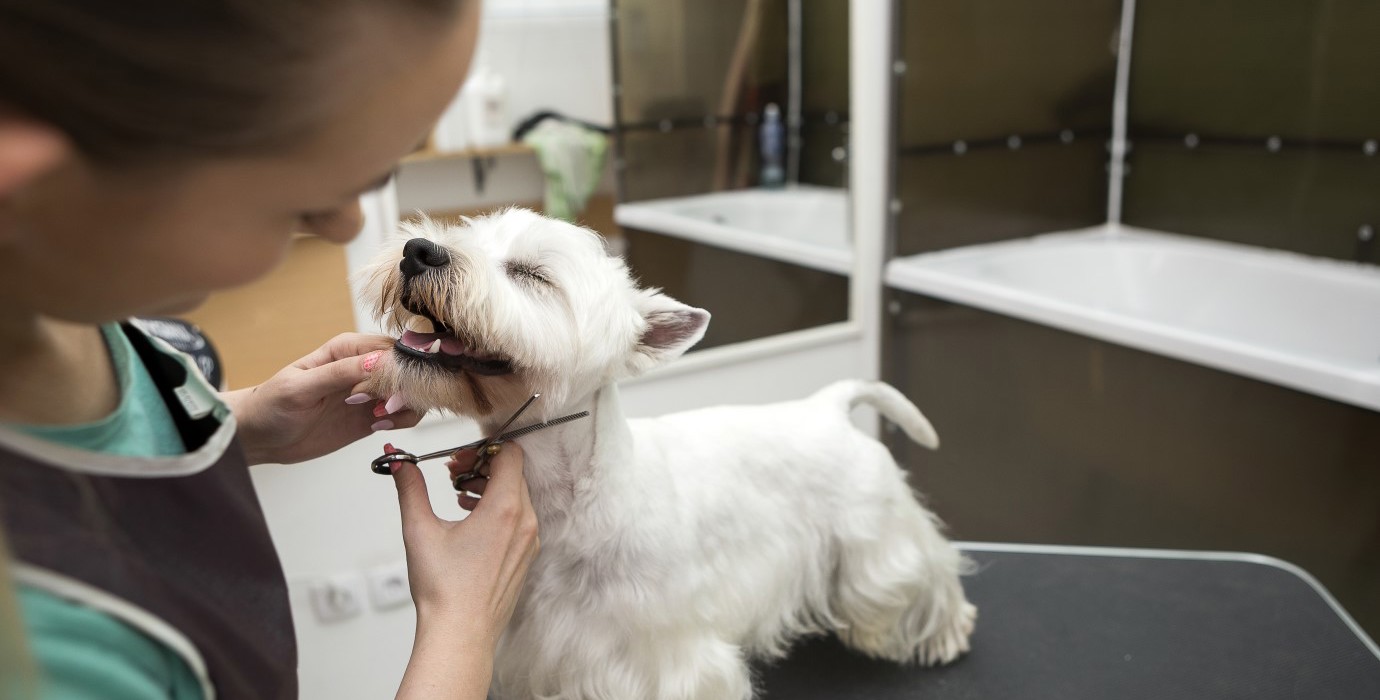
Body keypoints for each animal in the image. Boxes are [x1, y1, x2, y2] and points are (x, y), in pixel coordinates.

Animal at [361, 209, 977, 700]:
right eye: (465, 234)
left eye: (532, 274)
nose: (418, 252)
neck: (571, 497)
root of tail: (828, 404)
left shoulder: (659, 656)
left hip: (877, 539)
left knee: (927, 573)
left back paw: (945, 632)